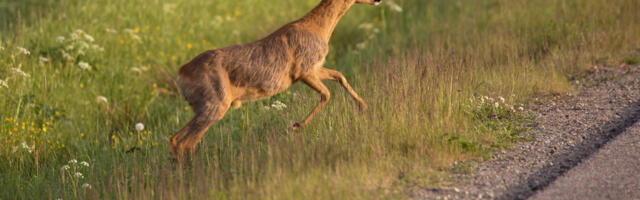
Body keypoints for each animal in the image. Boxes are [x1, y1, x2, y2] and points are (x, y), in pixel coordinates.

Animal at [170, 0, 380, 162]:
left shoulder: (315, 68)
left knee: (181, 141)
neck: (319, 28)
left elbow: (339, 75)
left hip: (207, 105)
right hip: (215, 102)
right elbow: (327, 94)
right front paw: (297, 125)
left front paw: (363, 107)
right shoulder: (303, 69)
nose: (378, 0)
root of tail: (181, 74)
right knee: (181, 141)